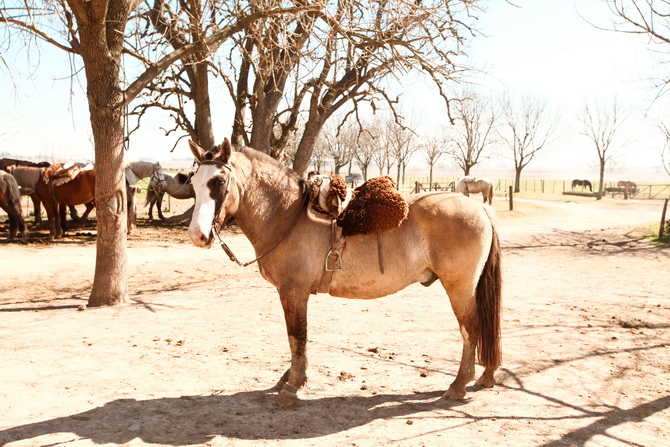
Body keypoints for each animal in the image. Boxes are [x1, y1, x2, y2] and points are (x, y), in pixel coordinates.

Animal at [186, 141, 502, 410]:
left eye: (220, 182)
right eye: (194, 181)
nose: (197, 236)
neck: (285, 214)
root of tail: (479, 207)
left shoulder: (293, 292)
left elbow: (296, 335)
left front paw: (292, 386)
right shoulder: (292, 294)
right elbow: (295, 338)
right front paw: (288, 378)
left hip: (459, 287)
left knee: (471, 328)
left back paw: (458, 386)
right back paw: (486, 376)